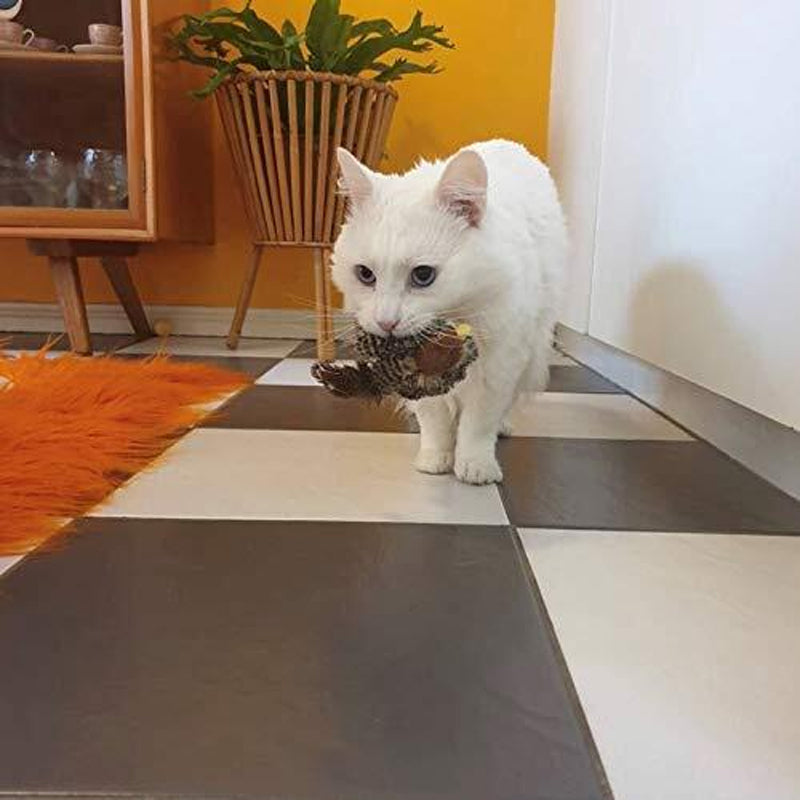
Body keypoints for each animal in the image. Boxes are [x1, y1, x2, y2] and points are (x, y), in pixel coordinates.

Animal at [332, 140, 568, 484]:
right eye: (365, 275)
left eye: (423, 275)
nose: (386, 322)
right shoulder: (415, 373)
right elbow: (435, 420)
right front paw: (435, 457)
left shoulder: (500, 363)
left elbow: (478, 424)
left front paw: (475, 465)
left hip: (532, 349)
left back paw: (502, 428)